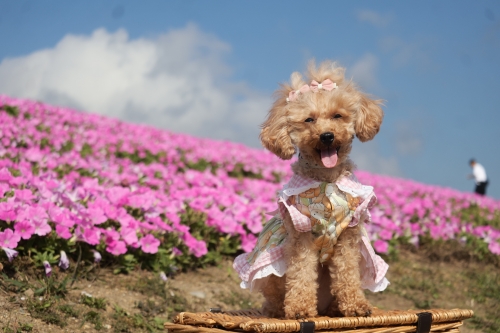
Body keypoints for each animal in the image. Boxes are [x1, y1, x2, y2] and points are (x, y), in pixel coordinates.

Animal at [232, 60, 388, 320]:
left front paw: (356, 305)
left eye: (337, 115)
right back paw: (279, 310)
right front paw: (300, 309)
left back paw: (335, 308)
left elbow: (347, 273)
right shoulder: (301, 234)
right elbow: (302, 273)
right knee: (273, 298)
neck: (326, 179)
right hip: (272, 276)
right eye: (309, 120)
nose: (327, 136)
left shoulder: (348, 234)